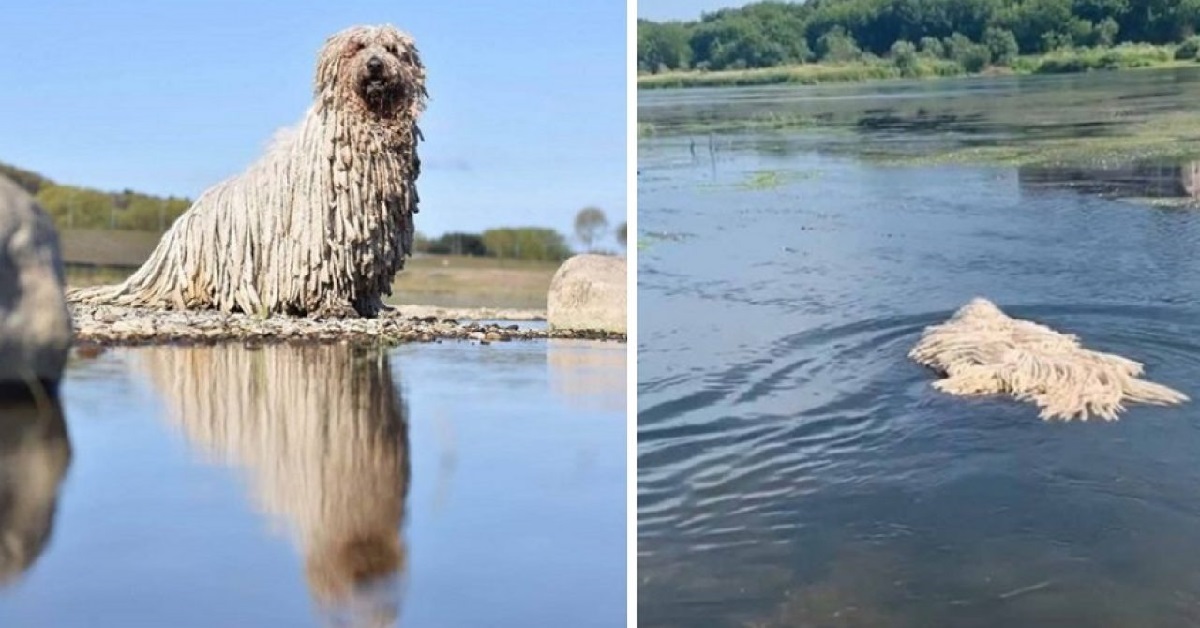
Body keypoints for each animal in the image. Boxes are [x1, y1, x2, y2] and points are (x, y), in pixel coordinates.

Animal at [69, 24, 427, 319]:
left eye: (392, 49)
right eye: (358, 46)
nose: (375, 64)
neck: (368, 128)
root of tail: (176, 231)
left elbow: (366, 278)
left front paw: (369, 307)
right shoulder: (322, 238)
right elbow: (325, 275)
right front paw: (333, 307)